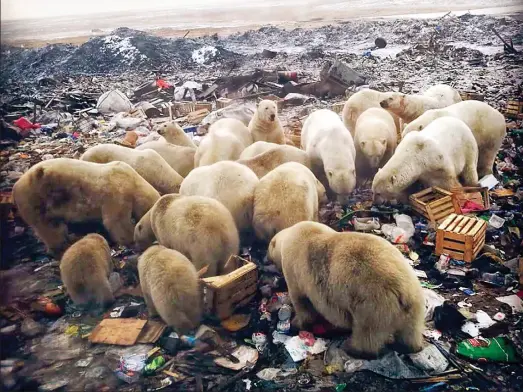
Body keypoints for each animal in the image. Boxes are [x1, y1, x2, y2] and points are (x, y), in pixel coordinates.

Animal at [13, 159, 159, 258]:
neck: (133, 181)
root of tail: (16, 187)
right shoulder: (117, 193)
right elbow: (116, 221)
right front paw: (130, 240)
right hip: (36, 199)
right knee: (50, 228)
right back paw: (62, 247)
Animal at [266, 220, 426, 358]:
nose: (265, 259)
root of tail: (403, 291)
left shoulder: (294, 269)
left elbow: (302, 302)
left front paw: (295, 324)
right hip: (414, 304)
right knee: (411, 330)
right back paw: (409, 347)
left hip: (373, 303)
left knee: (367, 331)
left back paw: (353, 348)